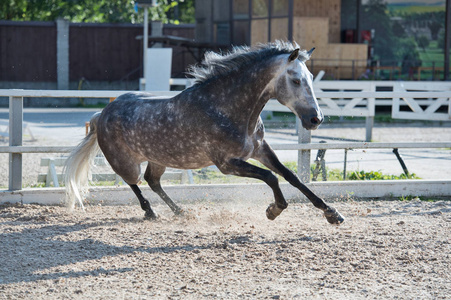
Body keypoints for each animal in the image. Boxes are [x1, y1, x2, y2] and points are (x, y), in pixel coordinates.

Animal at [63, 41, 344, 224]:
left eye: (310, 77)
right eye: (296, 80)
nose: (315, 119)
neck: (227, 109)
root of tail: (102, 113)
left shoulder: (261, 150)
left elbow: (292, 177)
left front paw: (332, 213)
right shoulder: (226, 164)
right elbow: (271, 177)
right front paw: (274, 210)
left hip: (158, 158)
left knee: (153, 181)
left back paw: (179, 211)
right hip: (124, 162)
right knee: (134, 182)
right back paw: (151, 212)